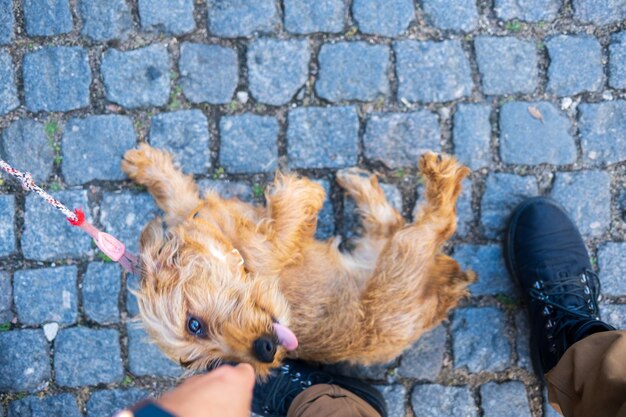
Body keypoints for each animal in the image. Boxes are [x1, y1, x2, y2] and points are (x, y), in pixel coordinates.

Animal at [122, 145, 472, 376]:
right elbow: (287, 211)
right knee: (435, 222)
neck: (238, 254)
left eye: (194, 324)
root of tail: (445, 289)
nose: (265, 352)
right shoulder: (274, 246)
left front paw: (147, 165)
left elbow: (179, 198)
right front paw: (299, 190)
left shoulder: (204, 217)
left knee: (400, 221)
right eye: (212, 361)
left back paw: (364, 179)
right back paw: (434, 177)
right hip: (402, 255)